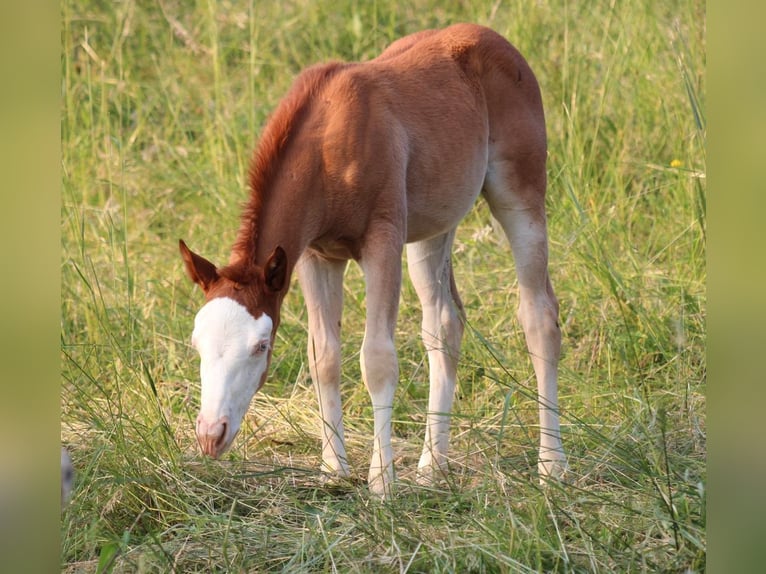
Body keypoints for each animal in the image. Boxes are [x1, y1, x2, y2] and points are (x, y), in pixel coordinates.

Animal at [178, 23, 564, 500]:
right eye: (197, 344)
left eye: (261, 346)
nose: (211, 435)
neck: (327, 144)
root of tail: (494, 39)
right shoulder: (315, 256)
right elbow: (323, 357)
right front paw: (333, 470)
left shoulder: (382, 242)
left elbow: (377, 359)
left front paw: (381, 482)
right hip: (431, 230)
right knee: (444, 324)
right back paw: (432, 466)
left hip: (519, 194)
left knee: (539, 315)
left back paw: (552, 465)